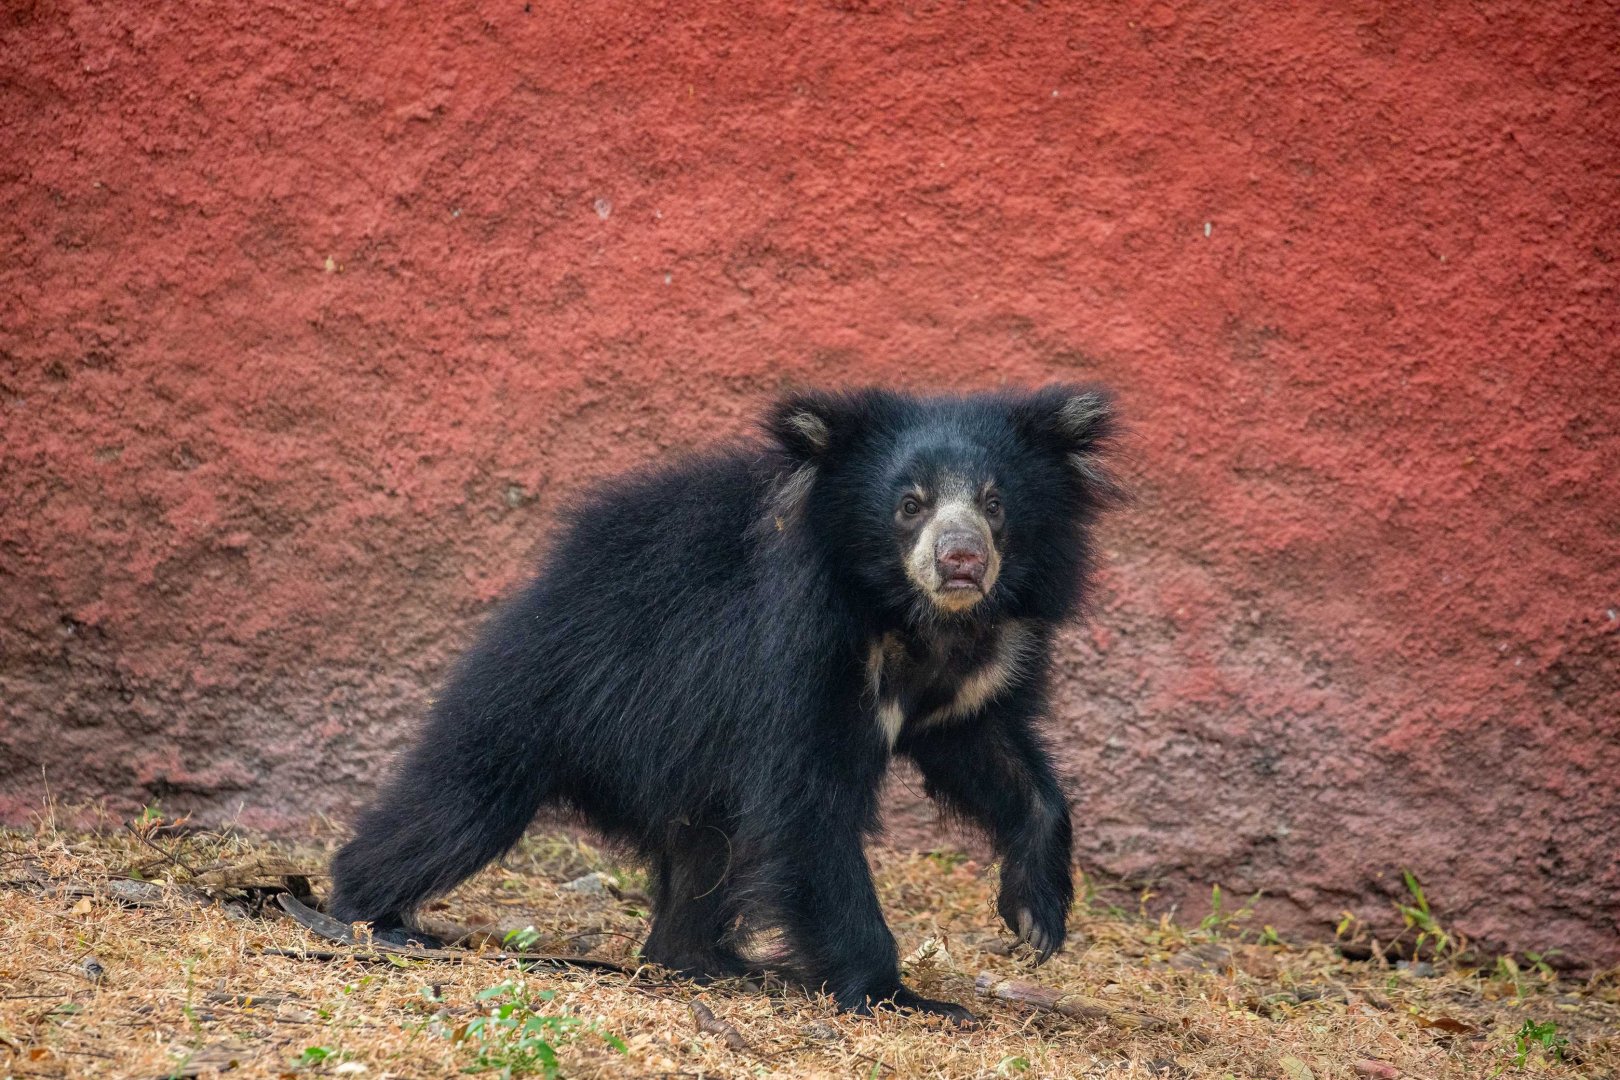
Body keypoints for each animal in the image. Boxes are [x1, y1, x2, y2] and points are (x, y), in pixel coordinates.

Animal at [329, 385, 1119, 1024]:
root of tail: (543, 586)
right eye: (909, 504)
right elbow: (807, 809)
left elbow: (990, 751)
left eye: (995, 504)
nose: (961, 561)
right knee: (456, 807)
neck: (914, 617)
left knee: (707, 853)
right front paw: (902, 997)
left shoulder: (976, 672)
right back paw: (366, 913)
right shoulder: (797, 652)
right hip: (543, 693)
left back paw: (710, 962)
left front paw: (1036, 916)